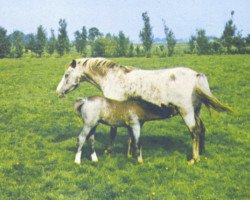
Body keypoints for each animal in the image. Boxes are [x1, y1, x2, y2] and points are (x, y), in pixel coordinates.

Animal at [56, 57, 232, 164]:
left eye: (66, 74)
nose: (58, 92)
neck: (113, 78)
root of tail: (196, 75)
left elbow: (113, 132)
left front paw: (109, 151)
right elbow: (130, 136)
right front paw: (129, 154)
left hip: (187, 112)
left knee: (194, 131)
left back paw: (193, 158)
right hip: (196, 111)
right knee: (201, 129)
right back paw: (201, 153)